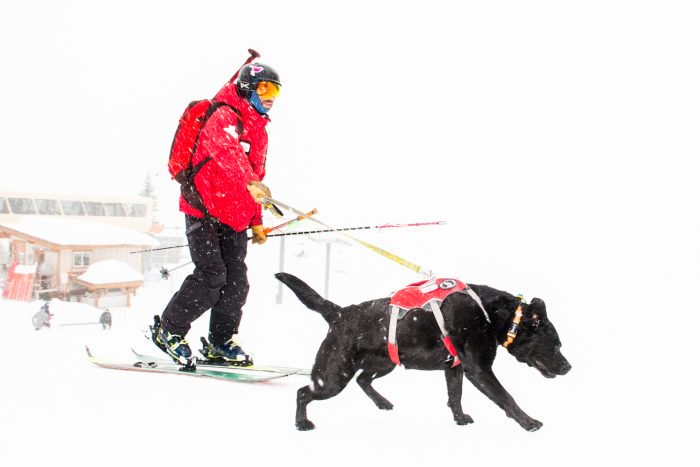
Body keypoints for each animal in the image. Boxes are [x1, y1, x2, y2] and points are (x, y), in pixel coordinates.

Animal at [275, 272, 571, 431]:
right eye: (556, 345)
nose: (569, 367)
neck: (492, 314)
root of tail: (339, 313)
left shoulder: (455, 368)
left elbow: (455, 396)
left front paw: (459, 418)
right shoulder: (479, 369)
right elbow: (506, 397)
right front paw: (528, 422)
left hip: (385, 363)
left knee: (363, 379)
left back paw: (382, 402)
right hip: (333, 377)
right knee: (303, 392)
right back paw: (302, 423)